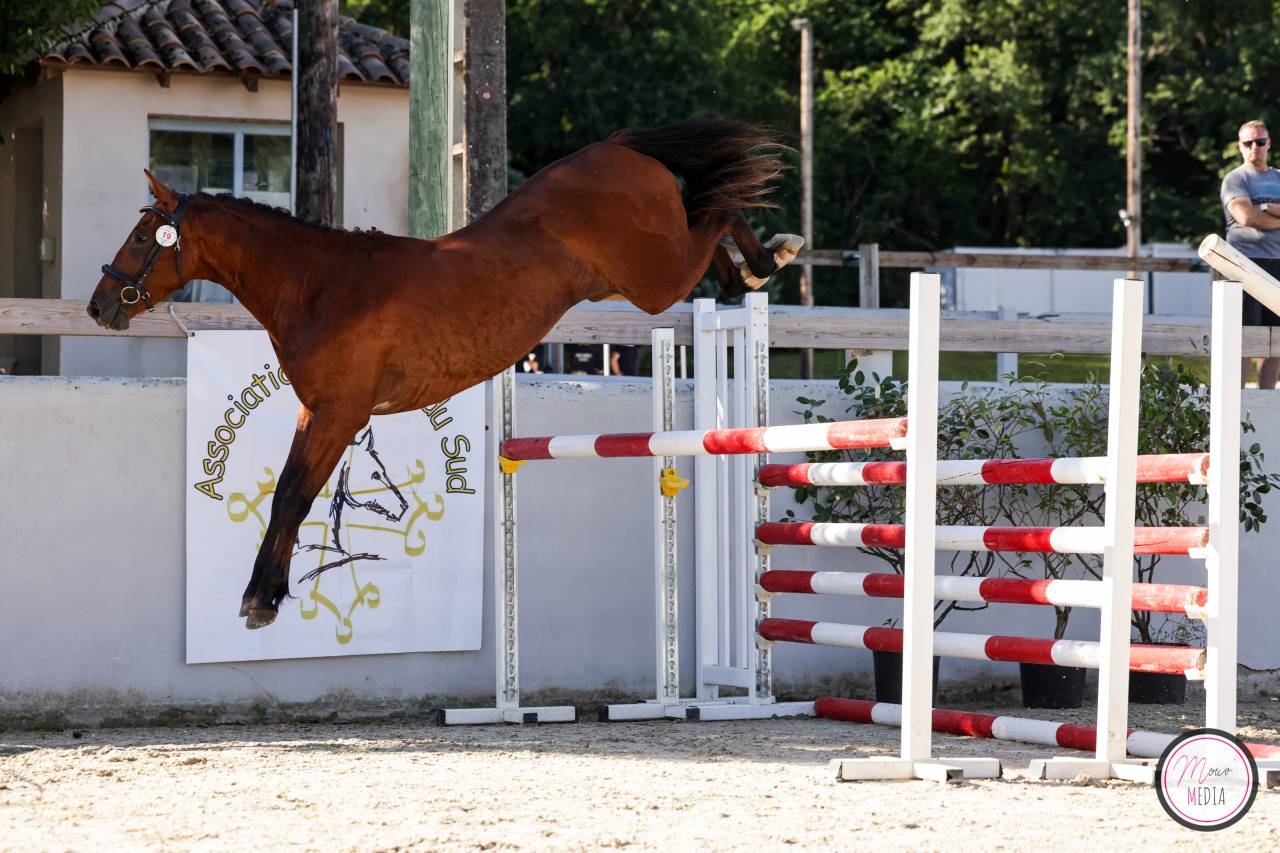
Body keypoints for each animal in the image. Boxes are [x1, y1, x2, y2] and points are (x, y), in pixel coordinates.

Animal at [88, 119, 804, 629]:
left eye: (143, 236)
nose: (99, 307)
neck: (317, 285)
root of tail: (615, 148)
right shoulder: (316, 411)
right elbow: (286, 494)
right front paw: (262, 594)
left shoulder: (339, 414)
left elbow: (295, 496)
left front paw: (262, 600)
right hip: (638, 281)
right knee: (713, 230)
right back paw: (746, 272)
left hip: (654, 281)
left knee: (719, 211)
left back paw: (771, 256)